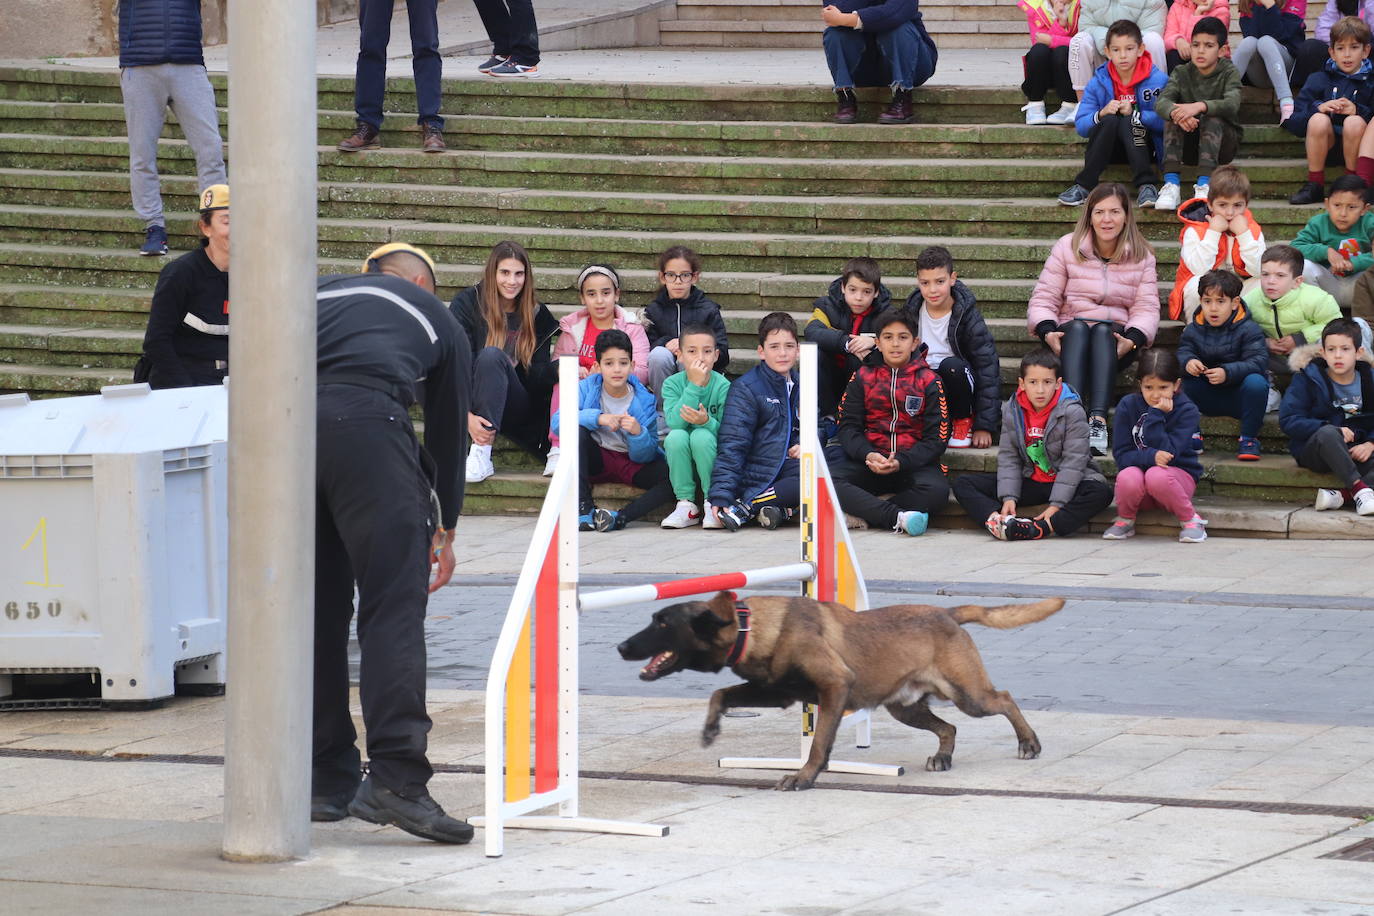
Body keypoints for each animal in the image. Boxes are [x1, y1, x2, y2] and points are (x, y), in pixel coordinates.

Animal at [618, 590, 1066, 791]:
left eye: (662, 623)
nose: (622, 647)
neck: (748, 626)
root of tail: (947, 612)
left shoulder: (834, 688)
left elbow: (819, 744)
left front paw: (804, 776)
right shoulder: (777, 692)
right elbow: (722, 694)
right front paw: (711, 729)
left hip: (969, 695)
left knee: (1004, 699)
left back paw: (1028, 742)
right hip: (905, 707)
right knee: (949, 728)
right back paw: (942, 756)